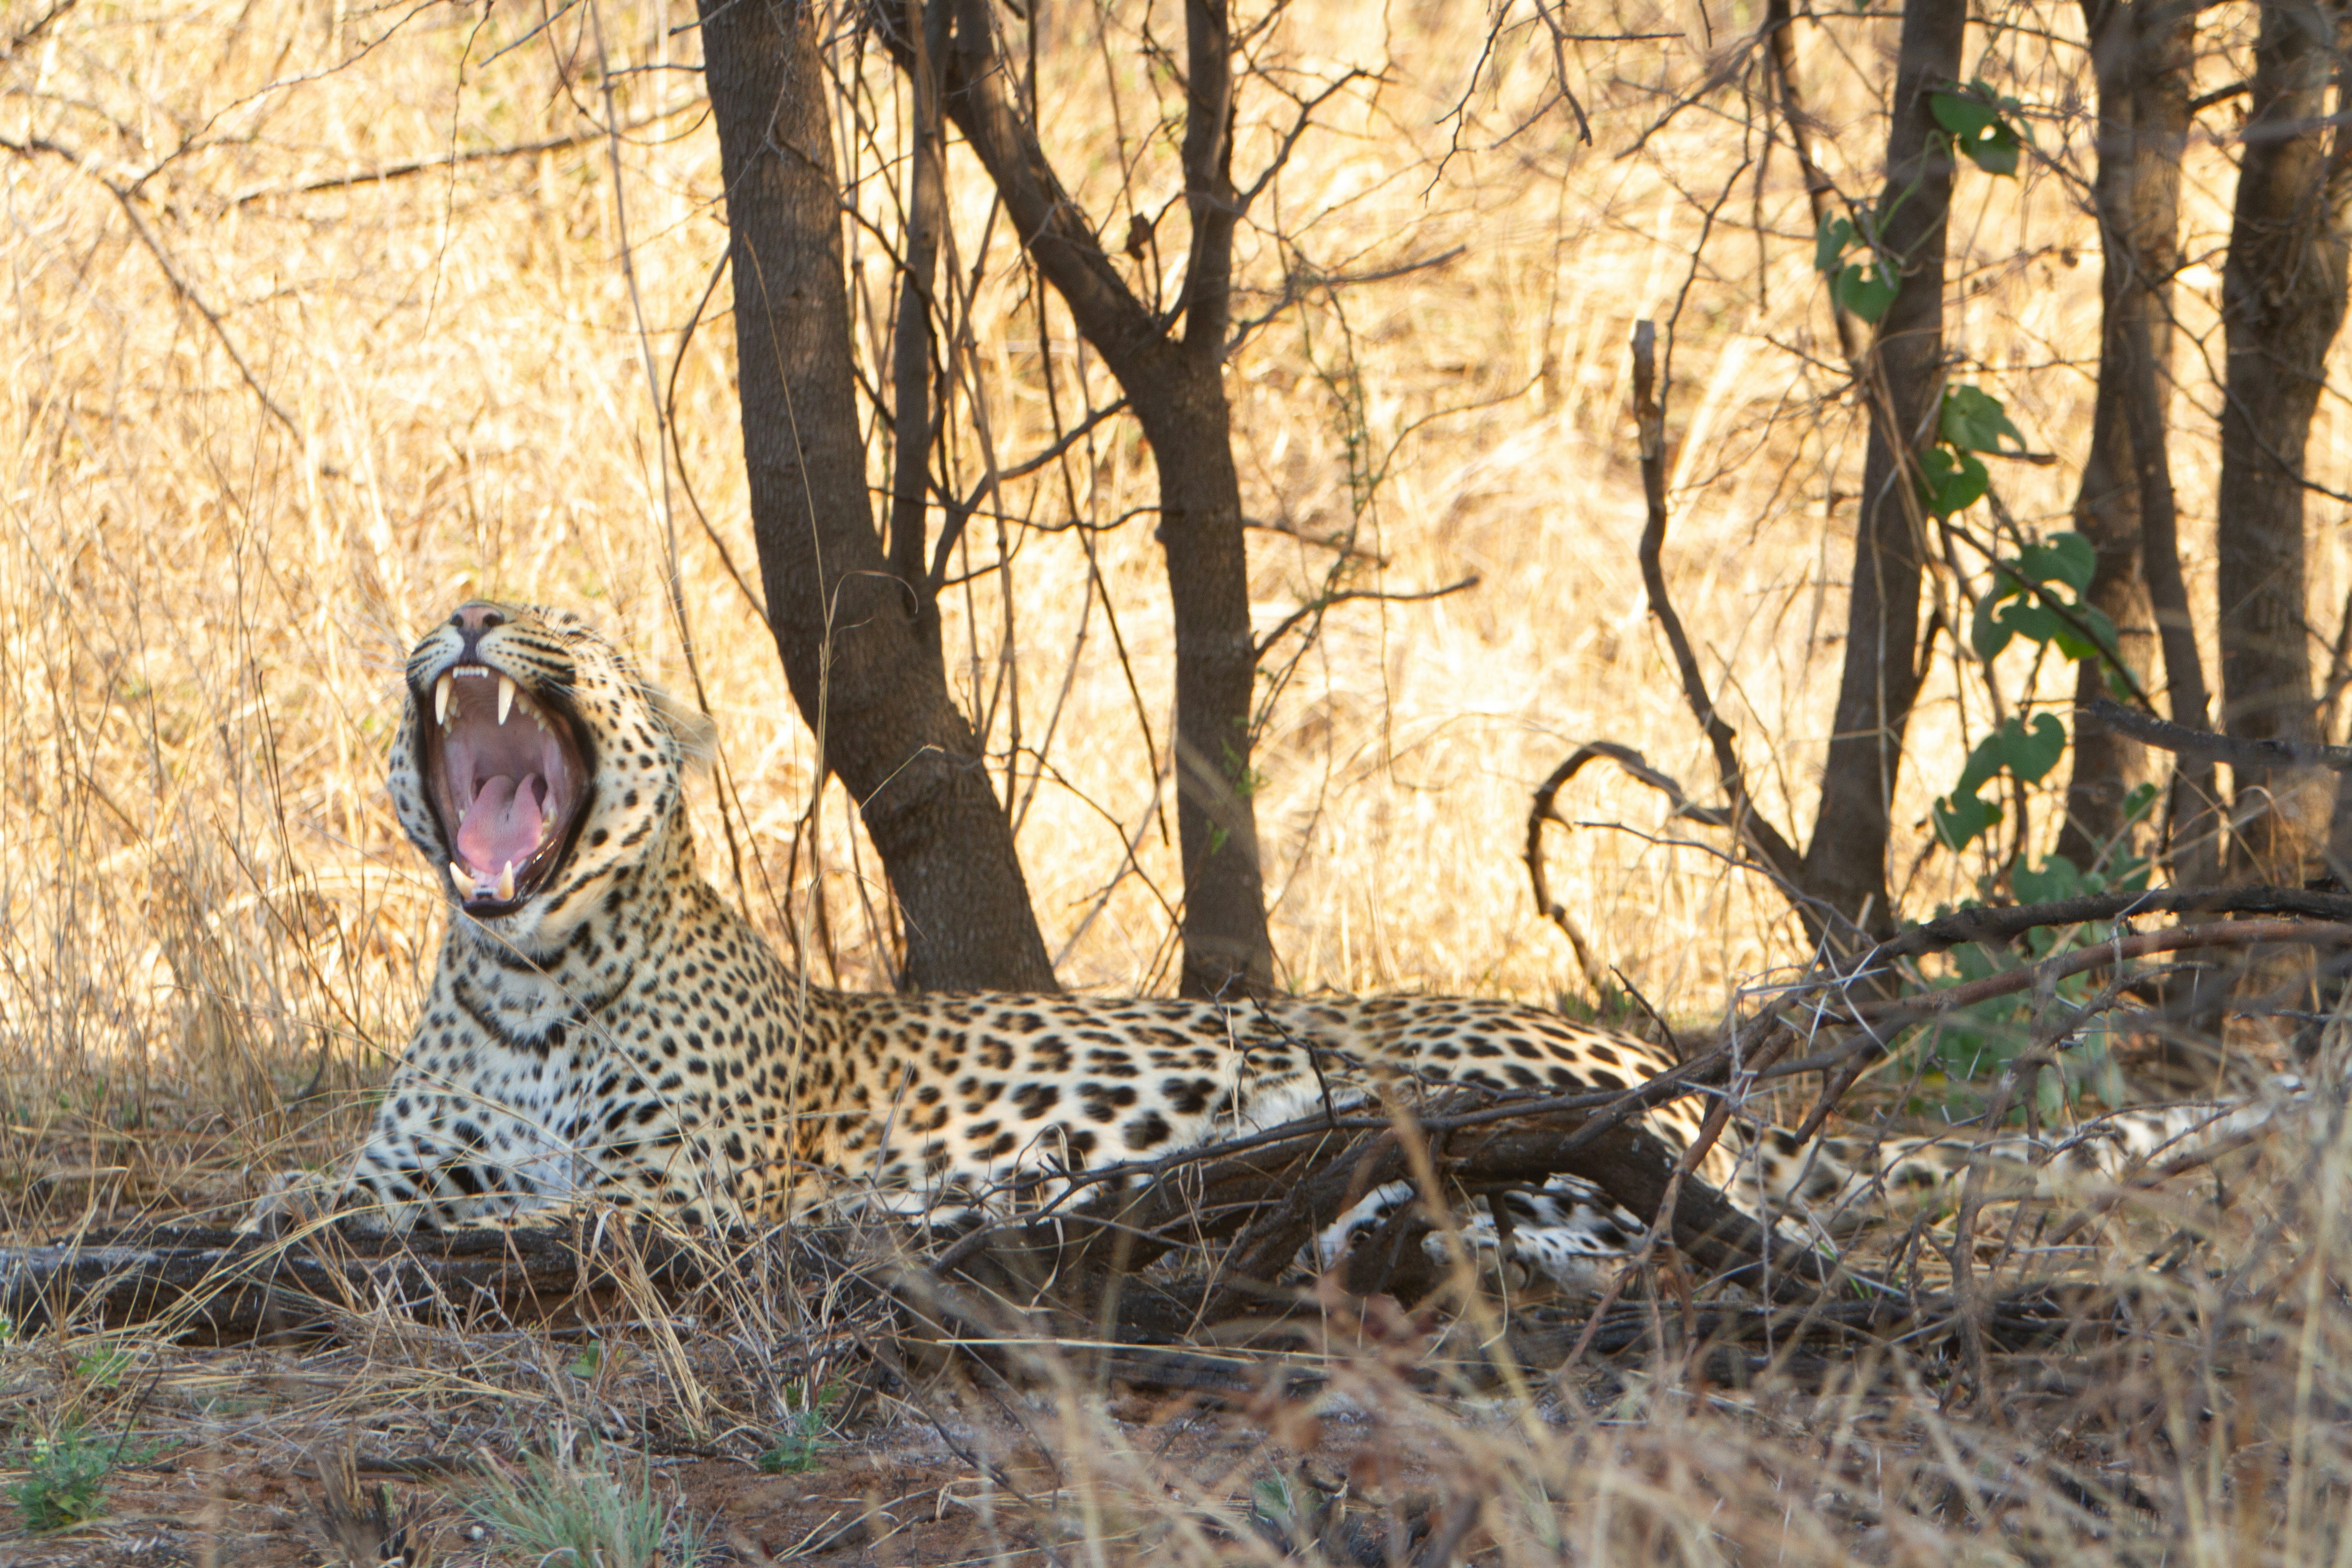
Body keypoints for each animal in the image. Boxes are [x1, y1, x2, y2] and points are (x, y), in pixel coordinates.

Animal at [275, 600, 2303, 1294]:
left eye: (562, 625)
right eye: (470, 603)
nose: (467, 614)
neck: (527, 976)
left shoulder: (677, 1197)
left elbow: (515, 1219)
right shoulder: (405, 1156)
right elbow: (319, 1200)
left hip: (1461, 1090)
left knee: (1676, 1219)